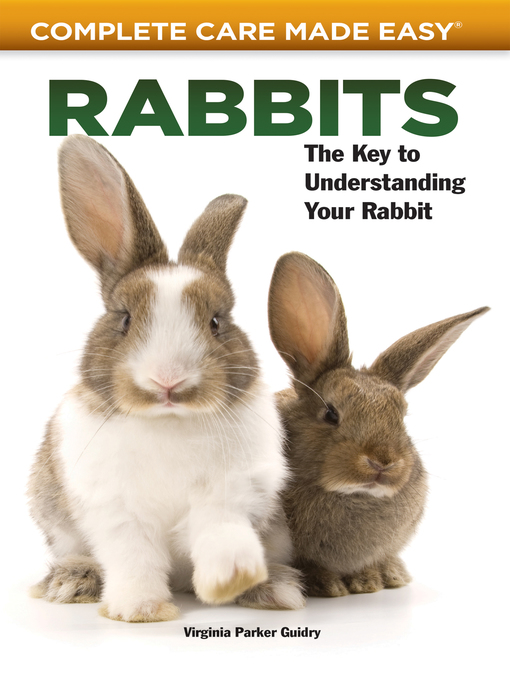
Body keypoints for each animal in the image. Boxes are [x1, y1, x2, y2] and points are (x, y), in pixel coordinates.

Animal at [27, 135, 304, 622]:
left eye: (216, 322)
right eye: (124, 319)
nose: (168, 381)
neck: (169, 421)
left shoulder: (232, 490)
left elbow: (218, 530)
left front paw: (231, 577)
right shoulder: (116, 509)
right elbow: (133, 556)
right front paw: (140, 610)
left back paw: (273, 588)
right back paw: (72, 581)